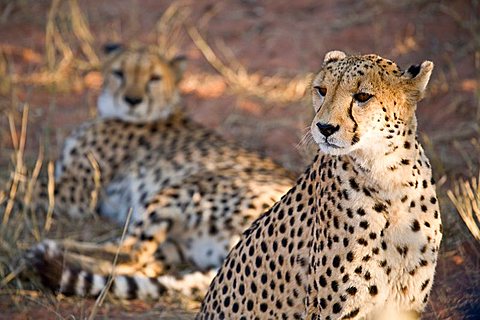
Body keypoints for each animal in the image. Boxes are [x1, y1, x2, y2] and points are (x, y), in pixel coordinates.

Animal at [25, 44, 296, 300]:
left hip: (189, 185)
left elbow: (22, 189)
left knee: (129, 253)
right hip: (180, 243)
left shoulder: (72, 196)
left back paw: (49, 252)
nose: (133, 100)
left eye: (154, 78)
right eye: (119, 73)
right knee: (143, 265)